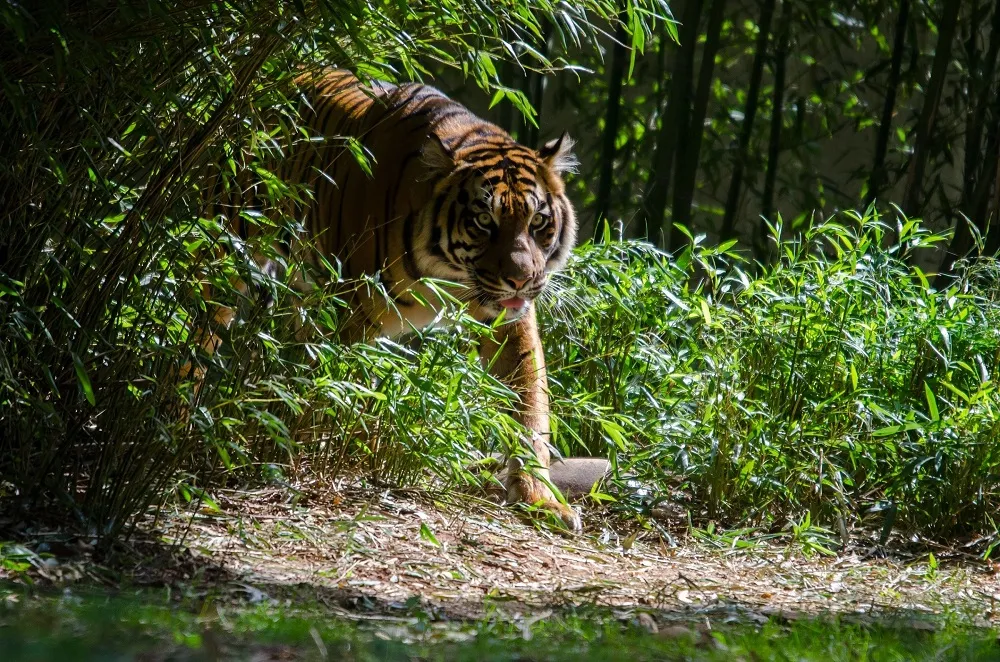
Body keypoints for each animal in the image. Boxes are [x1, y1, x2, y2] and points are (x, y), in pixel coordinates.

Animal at [199, 68, 584, 528]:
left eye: (538, 221)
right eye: (483, 221)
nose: (521, 279)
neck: (450, 276)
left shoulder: (508, 321)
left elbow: (529, 404)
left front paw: (539, 498)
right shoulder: (349, 311)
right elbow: (333, 390)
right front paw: (316, 460)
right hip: (224, 251)